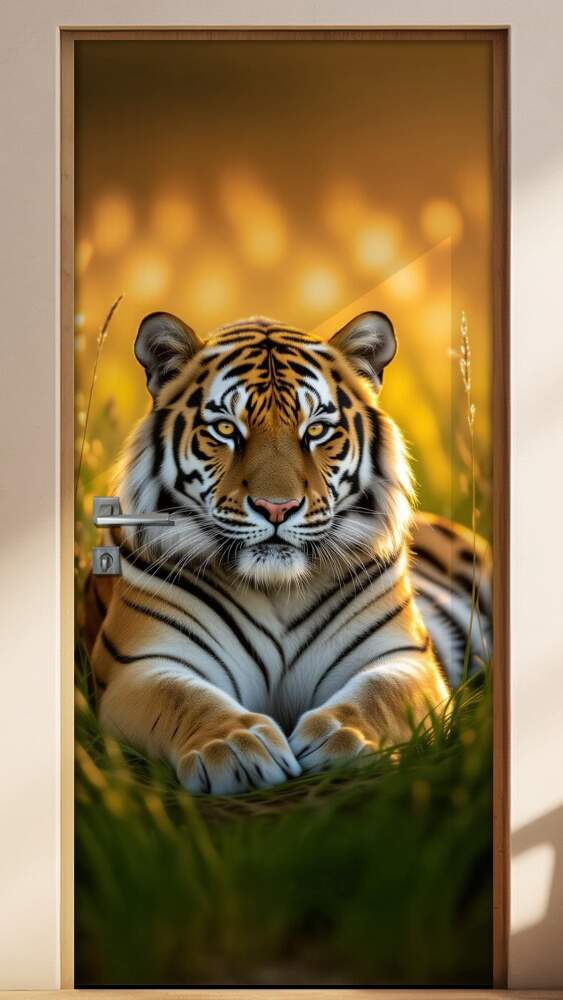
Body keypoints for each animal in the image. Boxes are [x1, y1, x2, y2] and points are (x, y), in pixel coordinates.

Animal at [86, 310, 491, 795]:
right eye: (226, 429)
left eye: (315, 430)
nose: (276, 507)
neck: (276, 587)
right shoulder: (142, 664)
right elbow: (184, 698)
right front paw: (234, 747)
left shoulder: (402, 658)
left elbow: (378, 697)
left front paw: (342, 739)